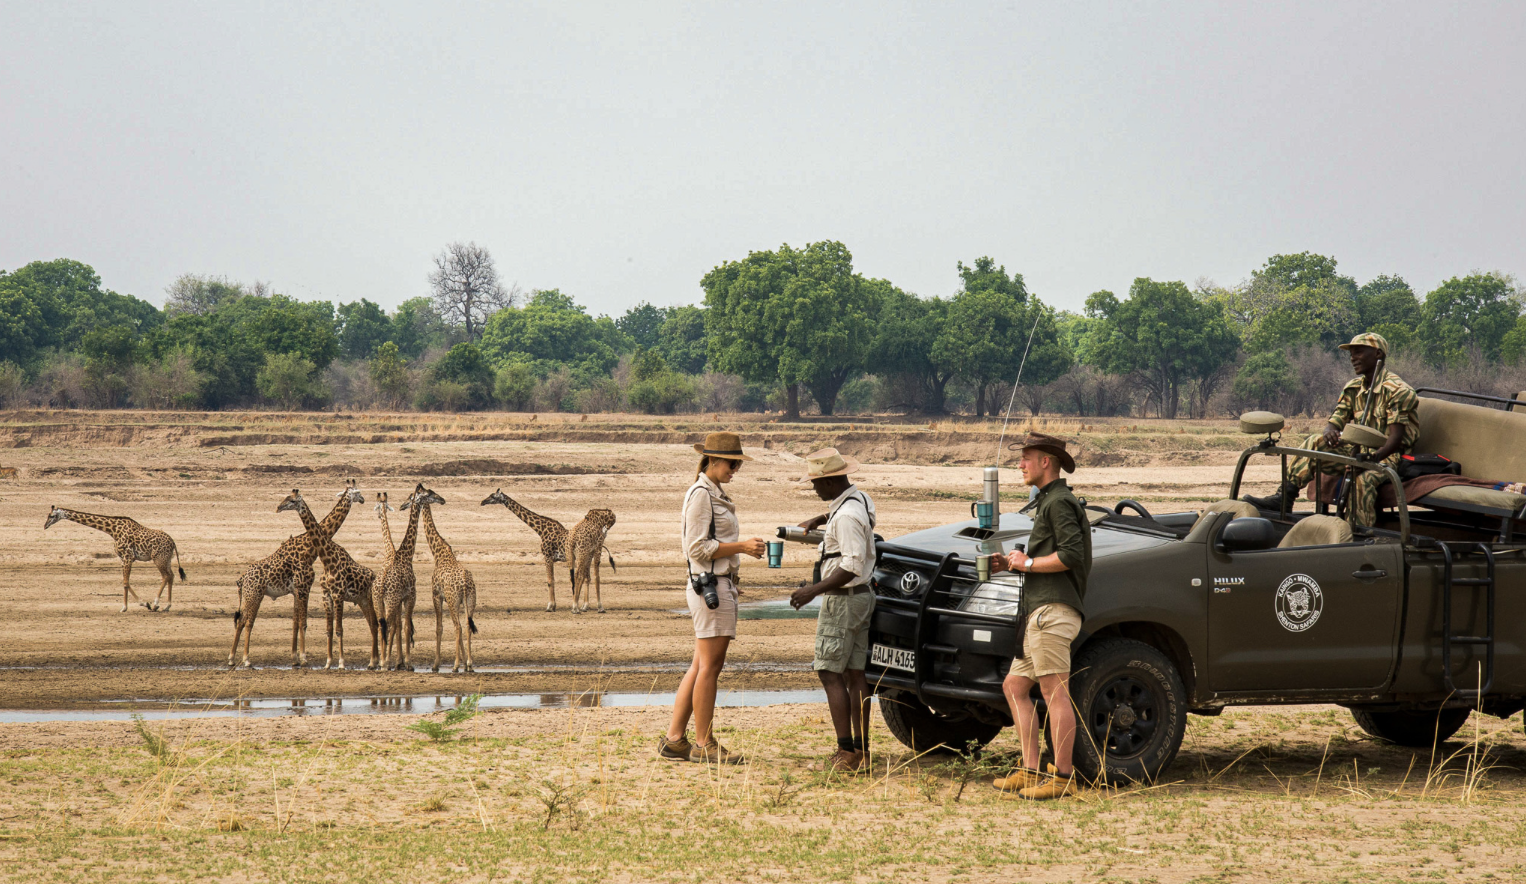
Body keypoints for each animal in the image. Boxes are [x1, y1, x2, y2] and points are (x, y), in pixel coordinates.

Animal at [44, 506, 187, 612]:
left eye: (51, 516)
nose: (45, 526)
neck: (112, 530)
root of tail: (173, 542)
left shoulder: (128, 557)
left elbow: (125, 582)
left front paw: (137, 605)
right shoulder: (123, 559)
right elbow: (125, 582)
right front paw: (134, 605)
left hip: (158, 559)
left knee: (166, 576)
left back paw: (156, 604)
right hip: (166, 559)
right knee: (171, 576)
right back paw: (167, 606)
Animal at [227, 485, 355, 668]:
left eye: (292, 499)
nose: (278, 507)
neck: (309, 549)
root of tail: (242, 579)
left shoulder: (296, 591)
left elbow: (295, 623)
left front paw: (294, 658)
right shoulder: (304, 588)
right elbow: (303, 623)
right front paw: (303, 658)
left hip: (247, 596)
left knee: (240, 620)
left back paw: (232, 658)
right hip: (255, 595)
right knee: (248, 621)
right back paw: (246, 659)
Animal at [280, 481, 381, 671]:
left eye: (292, 500)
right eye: (287, 498)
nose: (279, 507)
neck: (326, 558)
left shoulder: (338, 594)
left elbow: (339, 629)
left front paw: (341, 663)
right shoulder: (325, 595)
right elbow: (328, 629)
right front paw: (327, 663)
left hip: (369, 599)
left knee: (375, 624)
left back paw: (375, 661)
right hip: (362, 600)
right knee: (373, 624)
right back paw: (373, 662)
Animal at [376, 484, 443, 670]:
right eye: (429, 494)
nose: (442, 499)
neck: (405, 555)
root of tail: (381, 584)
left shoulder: (401, 598)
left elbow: (400, 626)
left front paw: (399, 662)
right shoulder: (411, 596)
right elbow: (405, 627)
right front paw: (407, 663)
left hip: (379, 601)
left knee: (381, 626)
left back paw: (380, 662)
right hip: (390, 601)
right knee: (387, 626)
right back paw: (384, 663)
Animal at [417, 487, 478, 672]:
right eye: (434, 494)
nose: (443, 500)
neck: (439, 554)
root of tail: (465, 583)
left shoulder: (437, 595)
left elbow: (439, 628)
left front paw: (436, 664)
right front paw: (465, 661)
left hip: (452, 600)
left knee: (457, 627)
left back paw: (455, 665)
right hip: (470, 600)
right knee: (467, 625)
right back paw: (469, 663)